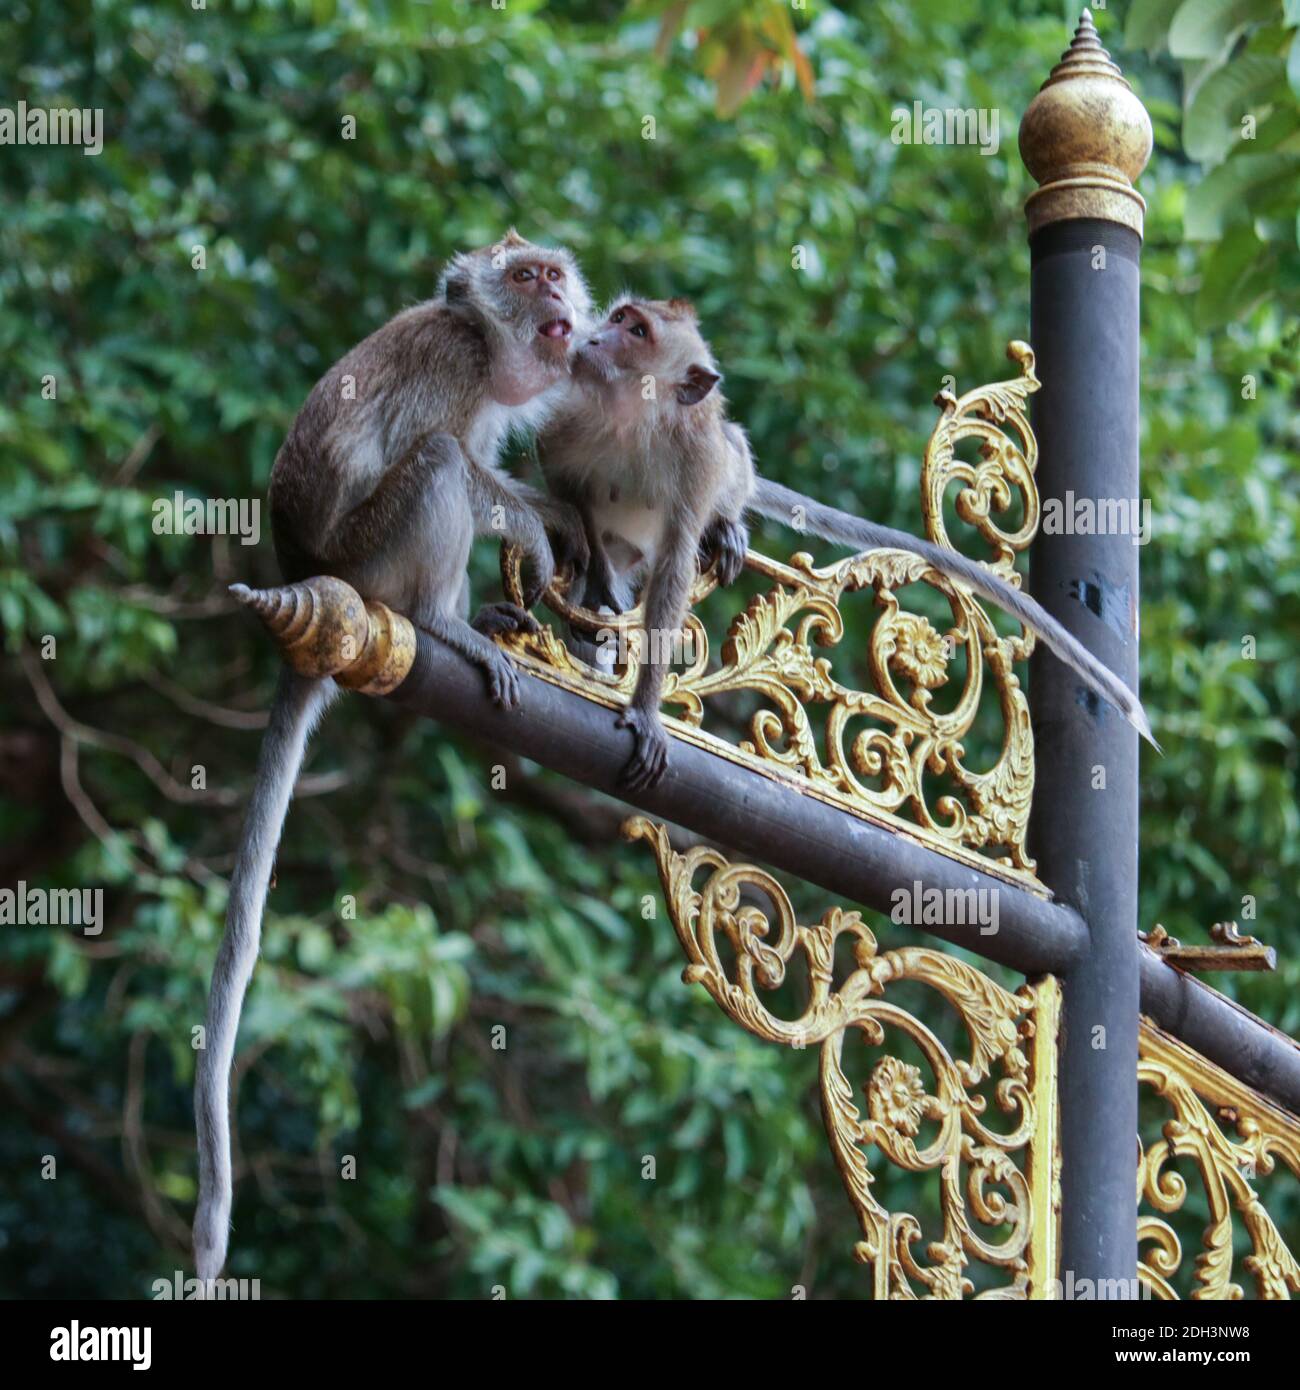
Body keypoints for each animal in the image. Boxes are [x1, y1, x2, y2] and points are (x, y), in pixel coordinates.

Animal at [193, 232, 592, 1285]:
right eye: (522, 275)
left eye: (551, 271)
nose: (555, 295)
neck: (487, 350)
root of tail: (307, 574)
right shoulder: (452, 367)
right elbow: (464, 459)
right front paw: (536, 531)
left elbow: (496, 464)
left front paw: (555, 520)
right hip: (368, 557)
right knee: (441, 465)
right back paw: (446, 626)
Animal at [537, 295, 1155, 791]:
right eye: (619, 318)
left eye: (636, 330)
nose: (594, 337)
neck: (635, 416)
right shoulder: (572, 411)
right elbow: (564, 486)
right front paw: (595, 570)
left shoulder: (697, 458)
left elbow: (674, 565)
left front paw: (645, 708)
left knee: (731, 455)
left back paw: (724, 529)